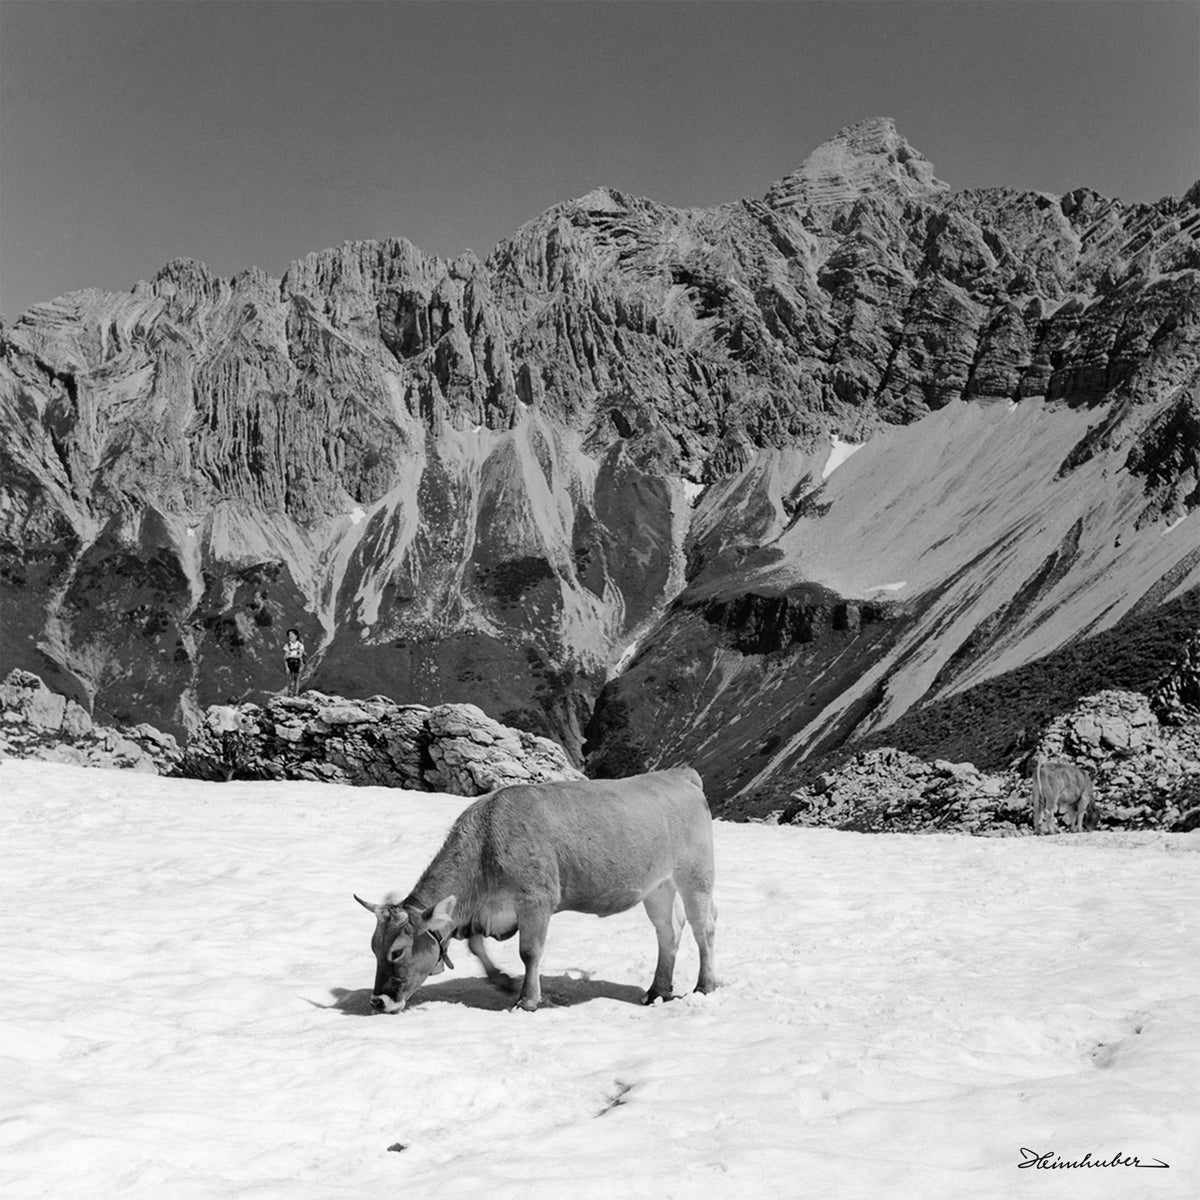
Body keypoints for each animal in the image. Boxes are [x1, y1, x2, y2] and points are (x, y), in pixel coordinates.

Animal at [354, 767, 717, 1013]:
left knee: (703, 927)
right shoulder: (485, 912)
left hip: (695, 874)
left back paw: (705, 986)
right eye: (373, 947)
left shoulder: (536, 900)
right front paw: (503, 980)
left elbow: (529, 951)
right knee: (668, 931)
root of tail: (678, 774)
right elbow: (476, 945)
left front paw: (526, 999)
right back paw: (657, 990)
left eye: (397, 951)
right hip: (658, 886)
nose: (377, 1001)